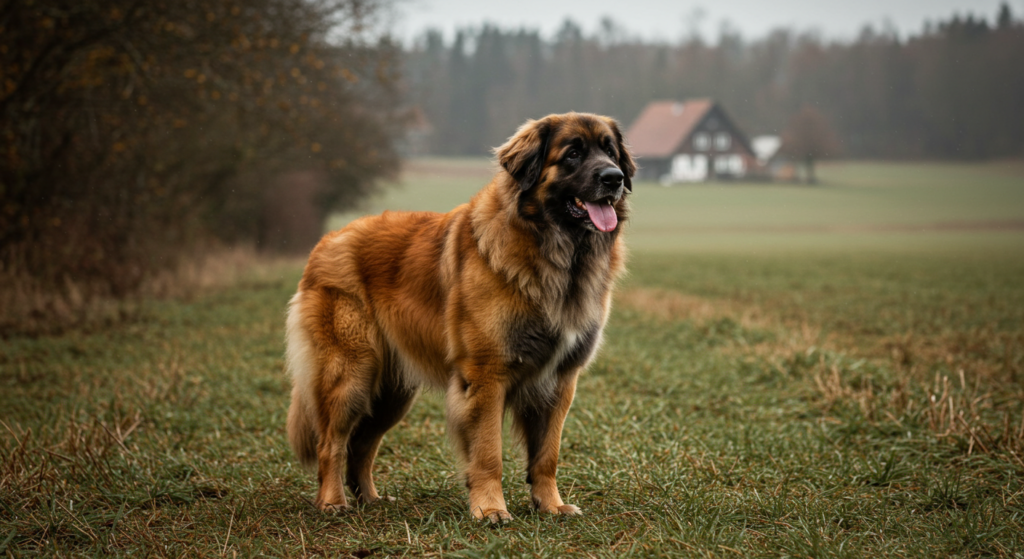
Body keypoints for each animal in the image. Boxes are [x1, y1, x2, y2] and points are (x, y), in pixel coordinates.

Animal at [286, 111, 630, 520]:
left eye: (610, 152)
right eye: (573, 154)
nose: (614, 178)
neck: (554, 252)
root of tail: (328, 240)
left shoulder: (560, 380)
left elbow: (547, 455)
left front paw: (551, 505)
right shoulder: (486, 376)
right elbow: (488, 453)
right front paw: (490, 509)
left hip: (391, 394)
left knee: (362, 445)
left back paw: (371, 498)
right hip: (351, 376)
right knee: (332, 443)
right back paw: (332, 502)